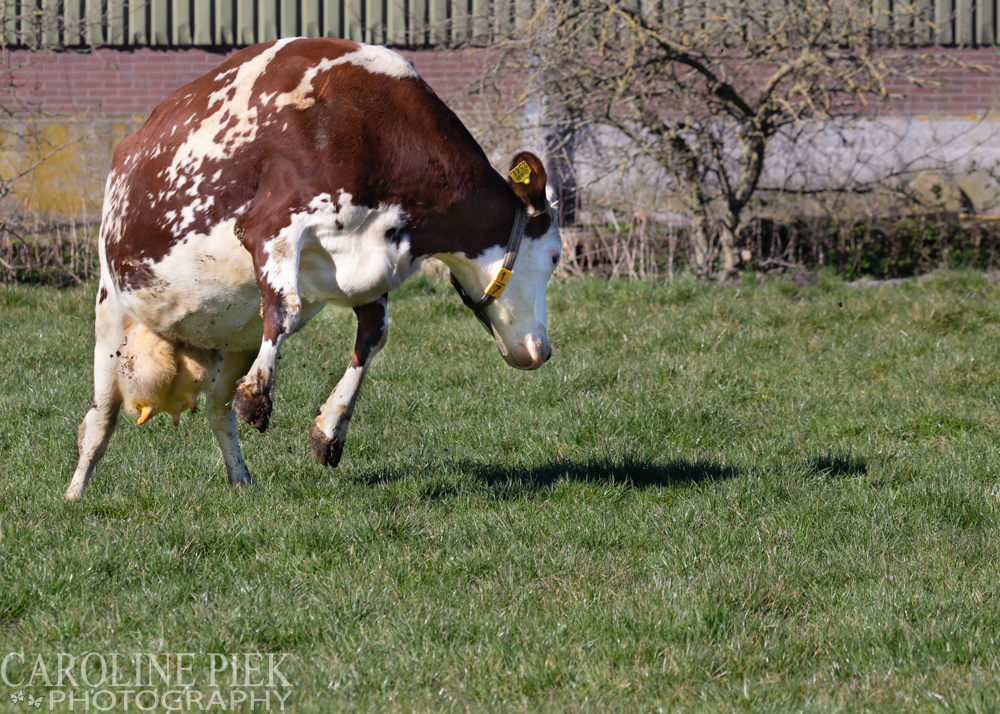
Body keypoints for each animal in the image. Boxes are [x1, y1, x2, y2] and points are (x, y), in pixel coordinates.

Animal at [63, 36, 564, 498]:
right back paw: (74, 494)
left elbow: (373, 337)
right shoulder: (271, 227)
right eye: (556, 256)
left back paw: (242, 480)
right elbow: (285, 307)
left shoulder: (372, 268)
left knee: (217, 410)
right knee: (99, 421)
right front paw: (258, 394)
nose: (542, 350)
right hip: (111, 314)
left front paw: (329, 430)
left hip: (232, 337)